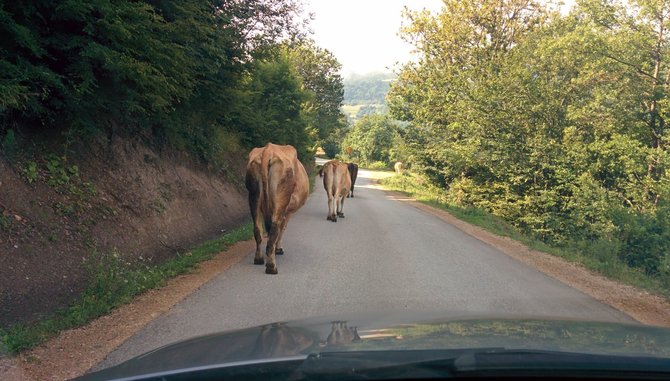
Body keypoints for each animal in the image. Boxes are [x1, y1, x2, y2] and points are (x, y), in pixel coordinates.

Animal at [247, 142, 310, 274]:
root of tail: (268, 149)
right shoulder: (288, 212)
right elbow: (283, 228)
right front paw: (278, 249)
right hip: (281, 199)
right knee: (275, 229)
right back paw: (271, 266)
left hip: (253, 196)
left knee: (258, 230)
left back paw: (259, 259)